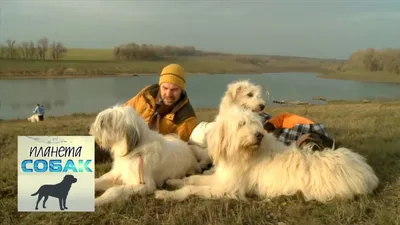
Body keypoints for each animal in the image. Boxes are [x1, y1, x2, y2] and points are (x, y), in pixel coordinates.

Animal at [155, 105, 380, 202]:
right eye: (241, 124)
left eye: (255, 123)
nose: (258, 135)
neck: (243, 153)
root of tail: (368, 171)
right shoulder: (223, 178)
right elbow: (193, 179)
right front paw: (173, 182)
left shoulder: (228, 189)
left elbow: (192, 189)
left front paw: (167, 194)